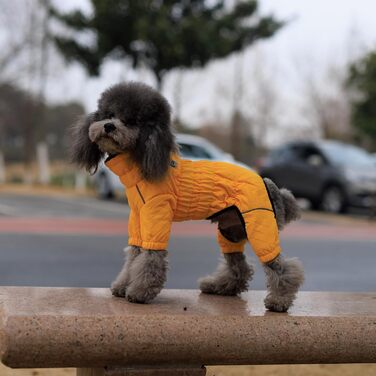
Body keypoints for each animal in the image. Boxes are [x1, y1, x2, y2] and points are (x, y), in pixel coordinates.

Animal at [71, 82, 306, 312]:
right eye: (108, 114)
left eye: (131, 122)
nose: (109, 126)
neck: (140, 164)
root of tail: (268, 184)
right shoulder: (138, 218)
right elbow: (134, 254)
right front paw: (122, 285)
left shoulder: (156, 215)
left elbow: (150, 257)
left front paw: (140, 292)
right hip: (231, 229)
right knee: (240, 265)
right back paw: (220, 286)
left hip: (259, 225)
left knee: (280, 265)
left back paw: (279, 300)